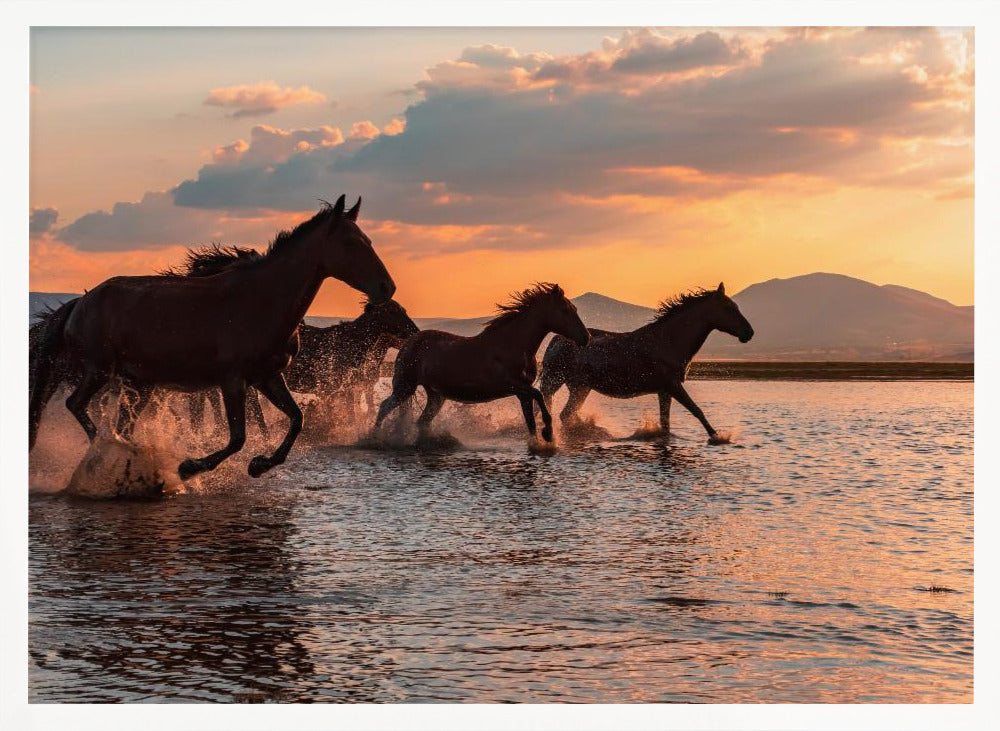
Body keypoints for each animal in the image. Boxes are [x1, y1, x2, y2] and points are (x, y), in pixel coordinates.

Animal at [30, 195, 395, 479]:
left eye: (369, 241)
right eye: (350, 243)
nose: (386, 287)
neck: (261, 300)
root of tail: (80, 303)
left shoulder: (267, 376)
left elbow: (296, 419)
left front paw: (260, 465)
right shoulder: (232, 380)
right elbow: (237, 437)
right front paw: (190, 467)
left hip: (139, 384)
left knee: (121, 423)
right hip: (100, 370)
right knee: (76, 404)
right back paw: (108, 451)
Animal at [374, 283, 589, 443]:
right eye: (565, 310)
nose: (586, 337)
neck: (513, 345)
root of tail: (408, 342)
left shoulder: (522, 393)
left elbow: (531, 422)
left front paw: (540, 442)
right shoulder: (514, 386)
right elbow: (539, 396)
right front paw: (549, 433)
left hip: (436, 395)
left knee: (422, 422)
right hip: (405, 387)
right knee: (385, 407)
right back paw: (374, 438)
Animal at [538, 283, 754, 442]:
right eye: (729, 308)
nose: (749, 333)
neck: (669, 341)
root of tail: (556, 340)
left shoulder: (664, 391)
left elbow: (666, 423)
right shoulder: (673, 386)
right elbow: (697, 411)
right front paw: (718, 437)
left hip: (580, 387)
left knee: (565, 414)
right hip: (557, 381)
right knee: (558, 412)